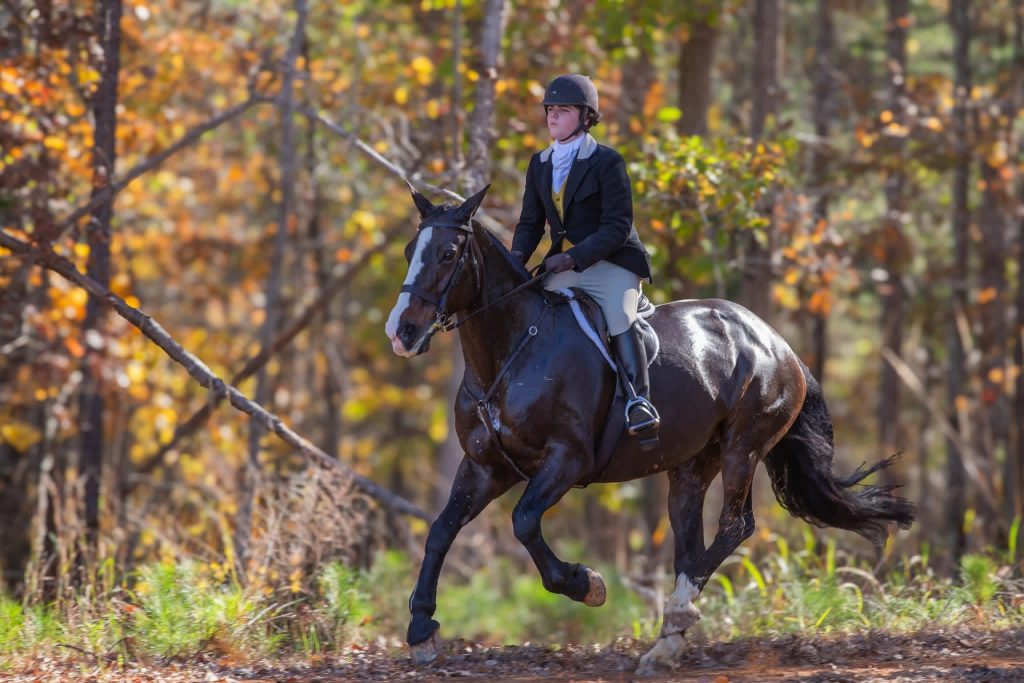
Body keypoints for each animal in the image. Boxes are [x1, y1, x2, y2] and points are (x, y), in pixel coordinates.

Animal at [384, 186, 915, 672]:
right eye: (410, 251)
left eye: (448, 254)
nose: (401, 334)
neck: (512, 349)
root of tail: (778, 344)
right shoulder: (485, 466)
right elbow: (441, 530)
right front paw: (421, 630)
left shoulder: (566, 459)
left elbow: (524, 522)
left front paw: (586, 584)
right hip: (692, 465)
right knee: (691, 540)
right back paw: (668, 642)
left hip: (743, 446)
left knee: (735, 526)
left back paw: (677, 616)